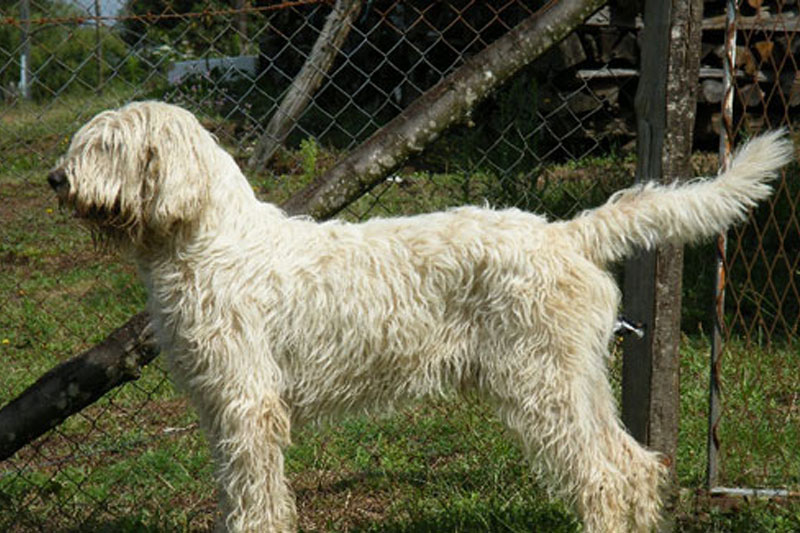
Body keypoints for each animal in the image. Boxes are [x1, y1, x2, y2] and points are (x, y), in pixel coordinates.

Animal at [50, 101, 792, 532]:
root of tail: (567, 233)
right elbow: (238, 489)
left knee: (603, 476)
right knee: (633, 465)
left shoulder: (247, 401)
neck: (207, 239)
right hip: (575, 381)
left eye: (108, 146)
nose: (56, 179)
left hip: (541, 386)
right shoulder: (221, 405)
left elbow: (255, 494)